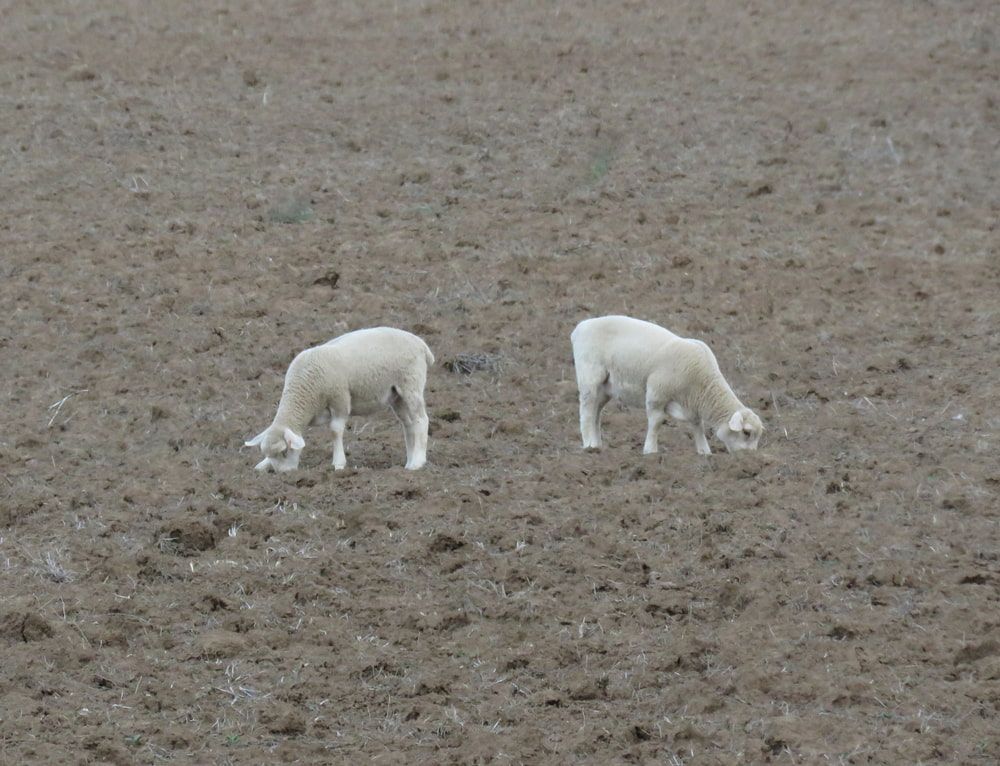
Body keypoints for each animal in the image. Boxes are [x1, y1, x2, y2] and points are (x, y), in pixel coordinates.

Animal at [245, 327, 434, 471]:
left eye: (285, 452)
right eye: (268, 454)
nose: (283, 474)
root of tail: (420, 343)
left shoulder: (340, 400)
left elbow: (335, 430)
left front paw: (338, 463)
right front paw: (262, 465)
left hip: (411, 386)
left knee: (421, 420)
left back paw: (418, 462)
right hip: (397, 396)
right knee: (408, 425)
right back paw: (409, 462)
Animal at [570, 315, 763, 456]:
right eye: (746, 433)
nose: (751, 458)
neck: (701, 381)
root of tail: (580, 327)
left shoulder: (691, 404)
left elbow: (697, 425)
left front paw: (704, 452)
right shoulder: (656, 394)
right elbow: (656, 422)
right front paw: (650, 451)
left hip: (605, 387)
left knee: (596, 413)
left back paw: (597, 445)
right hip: (589, 376)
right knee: (586, 413)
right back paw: (589, 446)